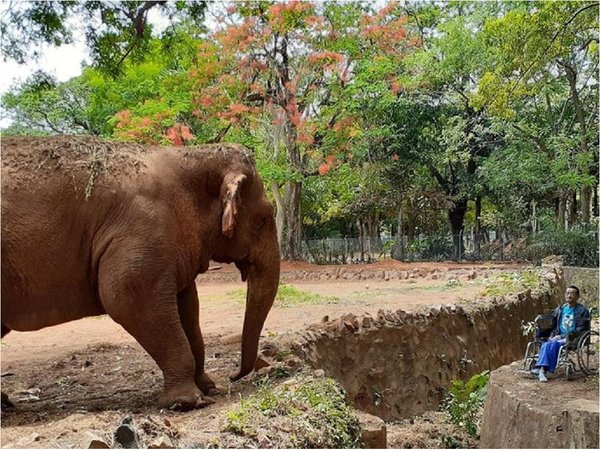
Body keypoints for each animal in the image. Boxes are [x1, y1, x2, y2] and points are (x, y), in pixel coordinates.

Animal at [0, 136, 280, 412]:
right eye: (264, 219)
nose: (234, 376)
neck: (190, 157)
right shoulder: (141, 230)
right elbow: (127, 299)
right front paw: (189, 402)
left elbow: (188, 305)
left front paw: (209, 388)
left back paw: (6, 404)